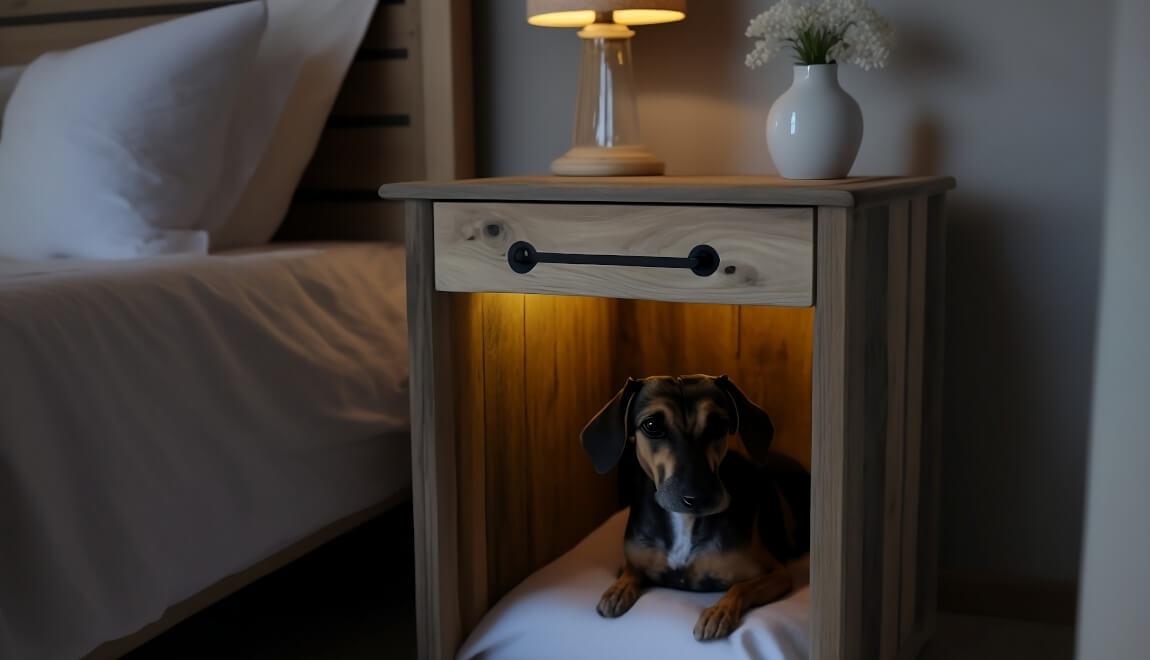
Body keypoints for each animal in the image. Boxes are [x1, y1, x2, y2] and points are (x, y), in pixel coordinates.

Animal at [584, 377, 809, 643]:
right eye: (651, 425)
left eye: (719, 424)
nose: (700, 496)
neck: (684, 520)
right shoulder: (635, 559)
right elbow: (631, 570)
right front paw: (617, 590)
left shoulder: (776, 573)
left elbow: (741, 586)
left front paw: (718, 612)